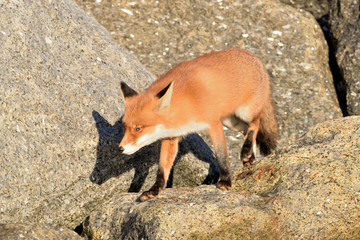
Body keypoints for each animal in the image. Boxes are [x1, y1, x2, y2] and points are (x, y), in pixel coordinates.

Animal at [119, 47, 280, 202]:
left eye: (138, 128)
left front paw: (226, 181)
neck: (185, 106)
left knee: (255, 124)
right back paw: (250, 157)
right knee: (247, 130)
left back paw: (246, 152)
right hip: (231, 122)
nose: (120, 148)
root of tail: (254, 56)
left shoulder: (214, 124)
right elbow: (162, 170)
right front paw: (154, 191)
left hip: (245, 112)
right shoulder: (170, 138)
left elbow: (221, 156)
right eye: (124, 127)